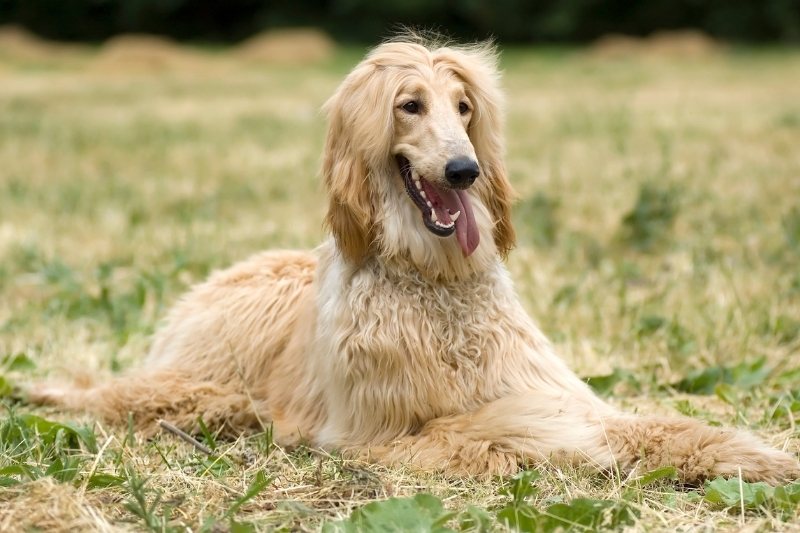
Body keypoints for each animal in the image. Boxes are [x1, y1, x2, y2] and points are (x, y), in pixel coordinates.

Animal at [31, 36, 800, 482]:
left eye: (464, 108)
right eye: (409, 105)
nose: (464, 171)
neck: (433, 278)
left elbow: (647, 423)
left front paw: (754, 455)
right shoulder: (375, 432)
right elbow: (496, 427)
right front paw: (563, 438)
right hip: (208, 382)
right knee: (121, 393)